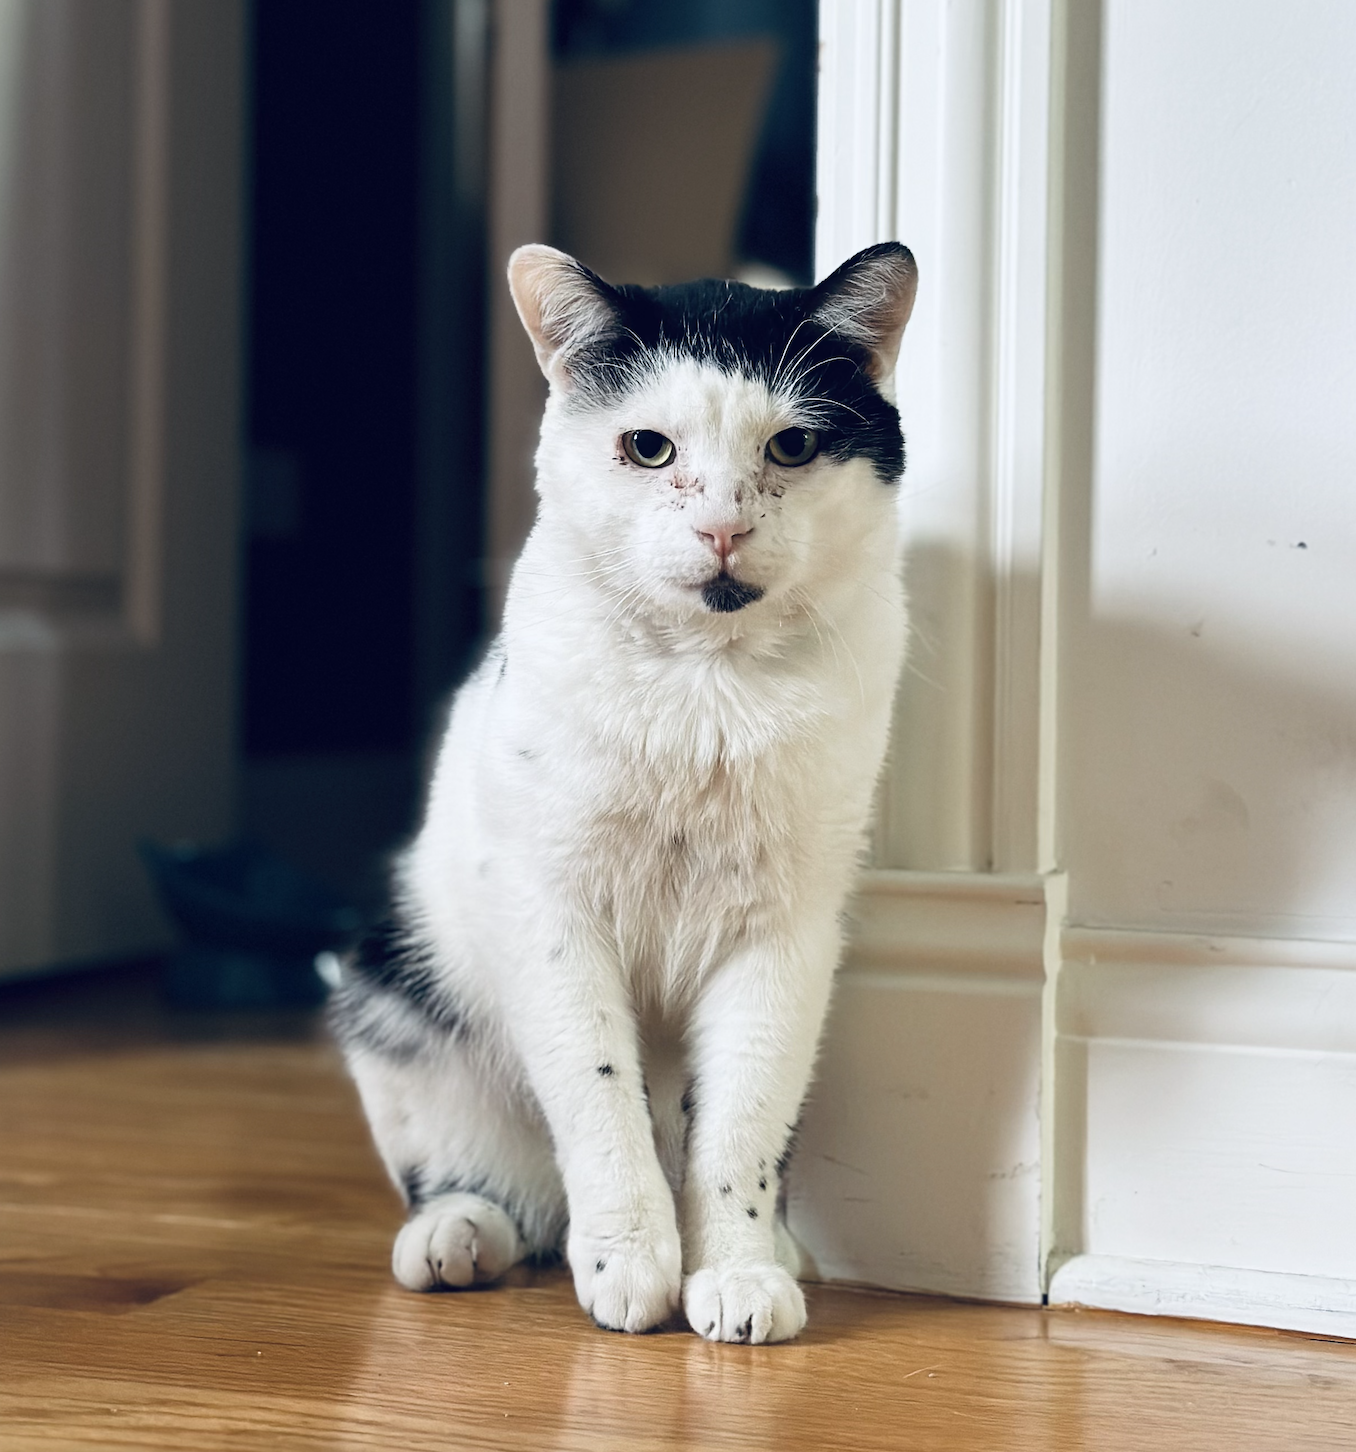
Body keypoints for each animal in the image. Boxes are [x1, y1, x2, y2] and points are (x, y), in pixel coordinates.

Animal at [331, 235, 917, 1335]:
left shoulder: (786, 935)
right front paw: (630, 1264)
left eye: (792, 448)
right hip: (393, 987)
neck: (707, 686)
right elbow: (599, 1094)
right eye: (648, 448)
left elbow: (742, 1121)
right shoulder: (551, 913)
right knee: (490, 1181)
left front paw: (736, 1273)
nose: (723, 526)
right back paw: (460, 1235)